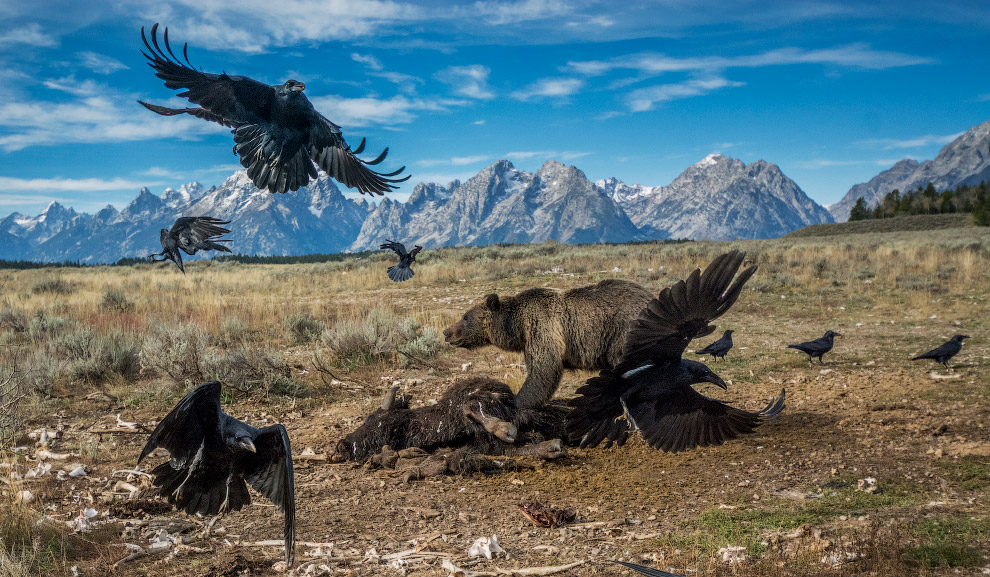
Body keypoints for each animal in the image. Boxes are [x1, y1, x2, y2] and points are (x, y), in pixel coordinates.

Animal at [446, 280, 656, 410]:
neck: (517, 326)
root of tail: (651, 297)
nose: (446, 332)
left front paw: (515, 400)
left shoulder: (541, 327)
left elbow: (544, 368)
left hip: (625, 332)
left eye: (465, 317)